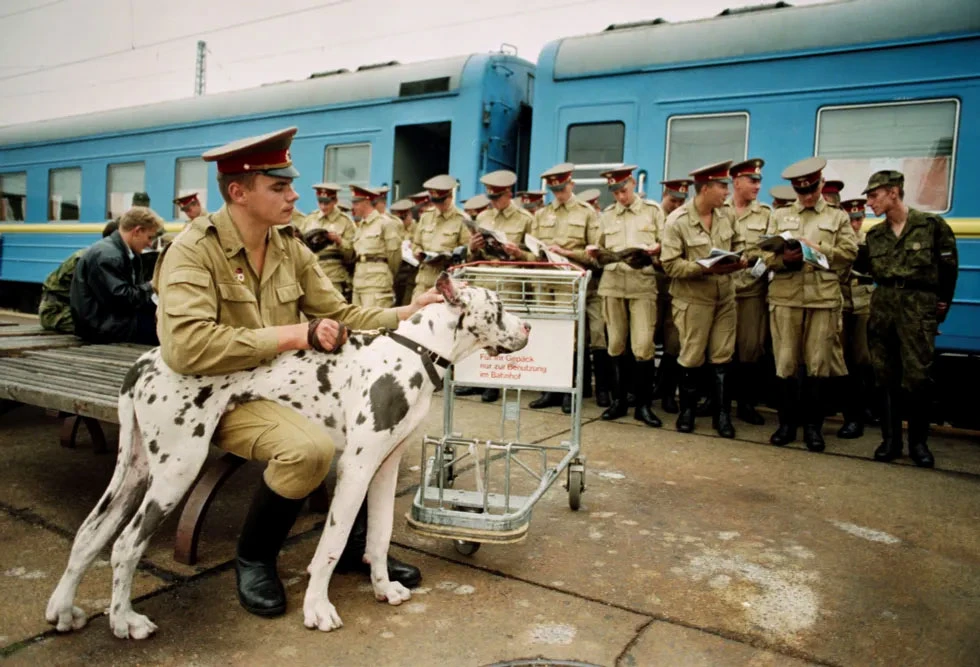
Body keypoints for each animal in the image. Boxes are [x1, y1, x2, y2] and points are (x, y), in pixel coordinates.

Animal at [45, 272, 530, 637]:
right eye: (498, 306)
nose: (528, 328)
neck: (414, 352)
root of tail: (143, 362)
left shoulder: (384, 466)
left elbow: (378, 534)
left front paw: (384, 587)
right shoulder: (356, 466)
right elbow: (332, 543)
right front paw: (318, 609)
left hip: (136, 471)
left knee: (89, 533)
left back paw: (64, 610)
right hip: (176, 470)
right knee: (125, 545)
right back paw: (124, 621)